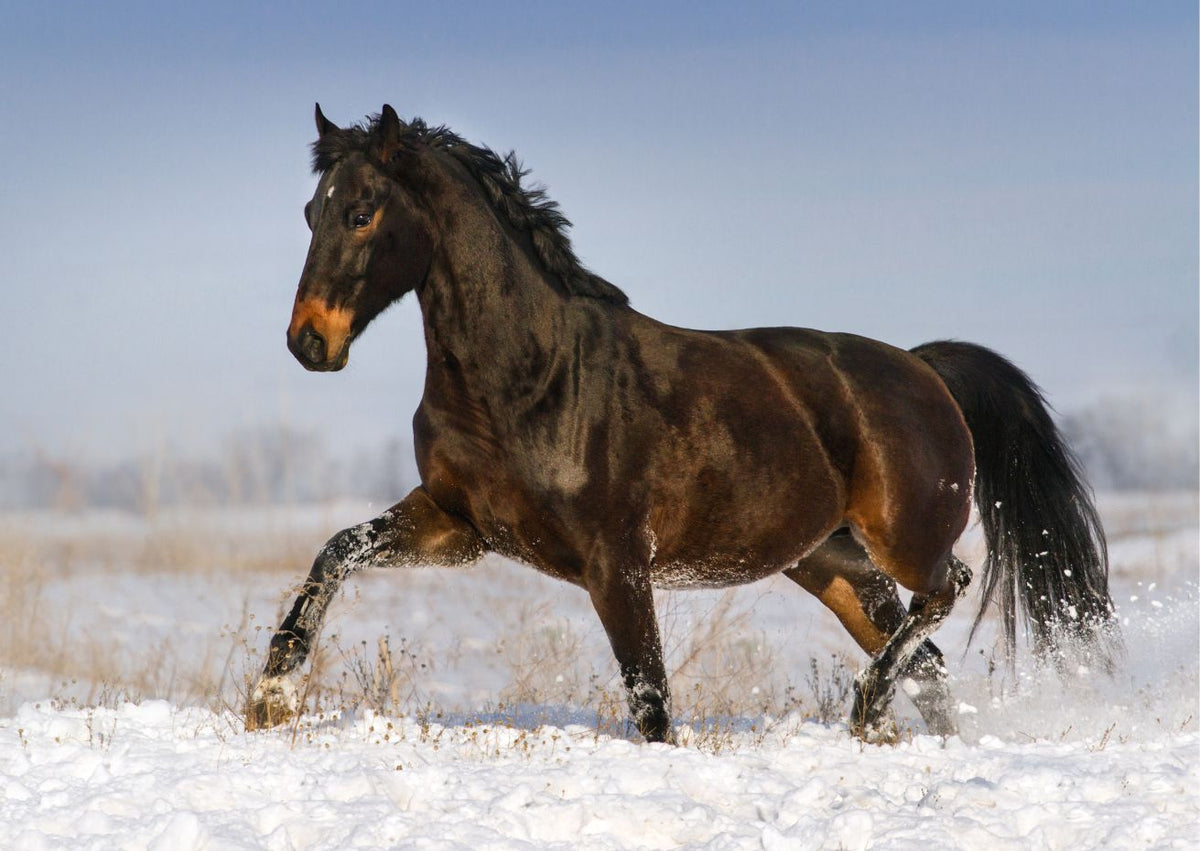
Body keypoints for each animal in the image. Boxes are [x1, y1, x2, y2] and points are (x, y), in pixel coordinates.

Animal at [246, 104, 1116, 743]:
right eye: (310, 209)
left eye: (362, 212)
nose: (308, 341)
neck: (531, 380)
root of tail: (923, 367)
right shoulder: (460, 525)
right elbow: (337, 551)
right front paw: (270, 695)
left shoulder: (618, 562)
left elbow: (651, 699)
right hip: (833, 565)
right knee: (927, 660)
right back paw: (886, 726)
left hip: (900, 540)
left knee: (949, 589)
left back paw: (866, 707)